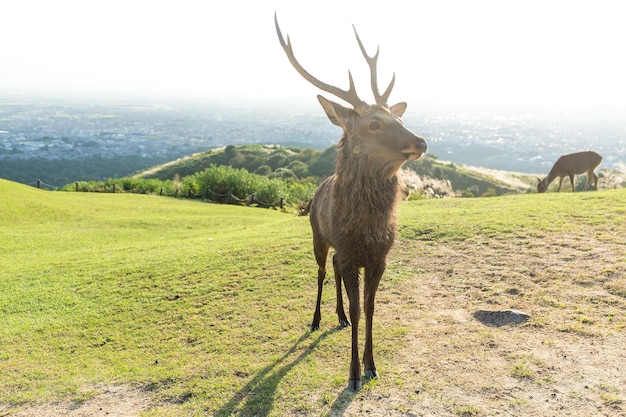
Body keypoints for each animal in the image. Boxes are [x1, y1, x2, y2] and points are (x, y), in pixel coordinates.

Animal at [276, 13, 426, 390]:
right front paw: (354, 373)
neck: (366, 230)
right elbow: (360, 309)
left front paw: (373, 365)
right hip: (318, 236)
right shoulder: (348, 252)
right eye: (373, 124)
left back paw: (339, 316)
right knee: (319, 272)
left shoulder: (377, 258)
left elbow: (370, 308)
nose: (421, 141)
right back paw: (317, 319)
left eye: (400, 118)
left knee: (332, 271)